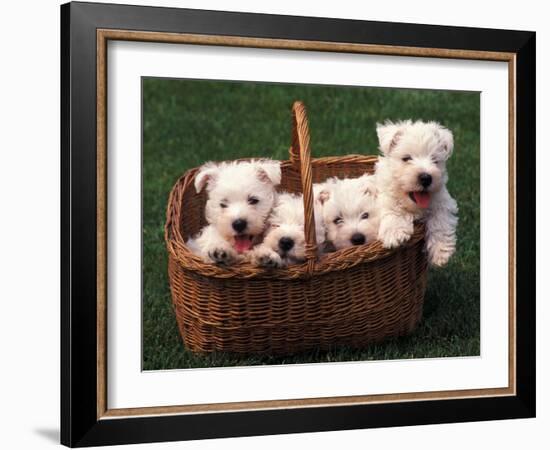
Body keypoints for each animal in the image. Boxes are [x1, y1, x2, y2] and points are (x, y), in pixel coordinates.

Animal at [376, 120, 462, 268]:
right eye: (406, 158)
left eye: (434, 160)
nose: (426, 178)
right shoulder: (385, 196)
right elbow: (392, 209)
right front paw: (395, 234)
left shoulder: (443, 201)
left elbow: (440, 221)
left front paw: (440, 253)